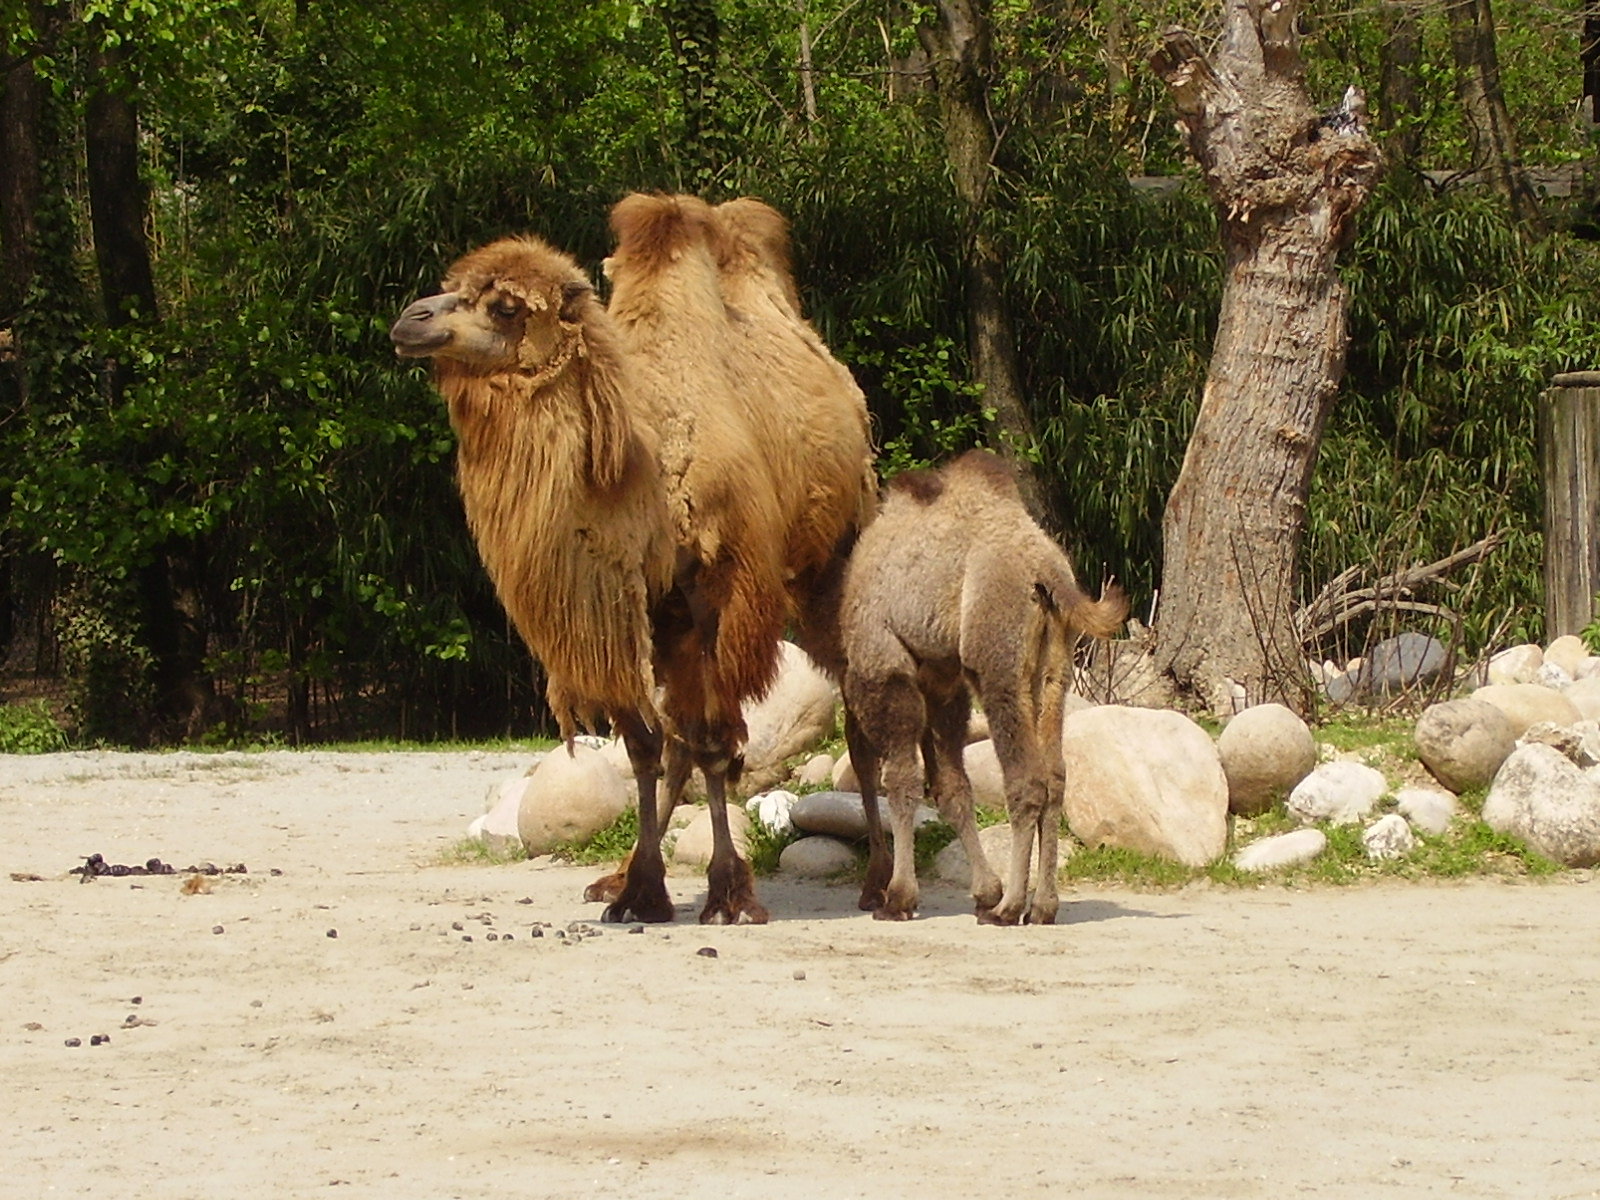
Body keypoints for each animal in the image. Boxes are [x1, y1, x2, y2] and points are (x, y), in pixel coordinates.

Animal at [389, 194, 873, 925]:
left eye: (505, 306)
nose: (409, 319)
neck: (641, 476)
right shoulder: (624, 606)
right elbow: (646, 747)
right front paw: (640, 891)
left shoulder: (713, 594)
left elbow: (711, 743)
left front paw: (728, 895)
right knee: (677, 741)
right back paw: (617, 877)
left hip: (832, 552)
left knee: (853, 699)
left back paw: (884, 879)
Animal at [841, 450, 1127, 925]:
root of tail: (1045, 570)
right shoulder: (943, 682)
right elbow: (952, 786)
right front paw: (982, 890)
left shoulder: (888, 666)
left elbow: (901, 779)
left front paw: (898, 897)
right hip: (1054, 670)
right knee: (1055, 777)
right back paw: (1042, 906)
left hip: (998, 667)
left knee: (1026, 781)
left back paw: (1009, 908)